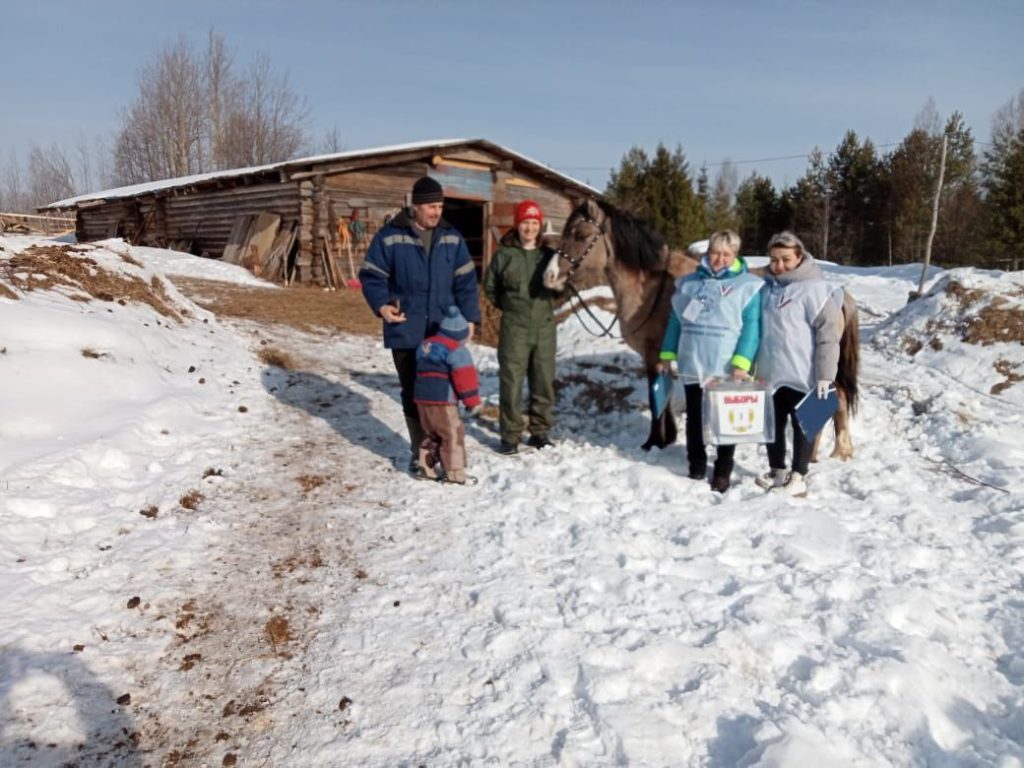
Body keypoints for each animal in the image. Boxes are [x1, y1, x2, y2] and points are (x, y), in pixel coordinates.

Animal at [540, 201, 860, 460]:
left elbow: (656, 399)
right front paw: (666, 438)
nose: (549, 277)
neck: (651, 288)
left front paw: (653, 442)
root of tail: (836, 292)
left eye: (580, 236)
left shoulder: (652, 355)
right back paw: (835, 452)